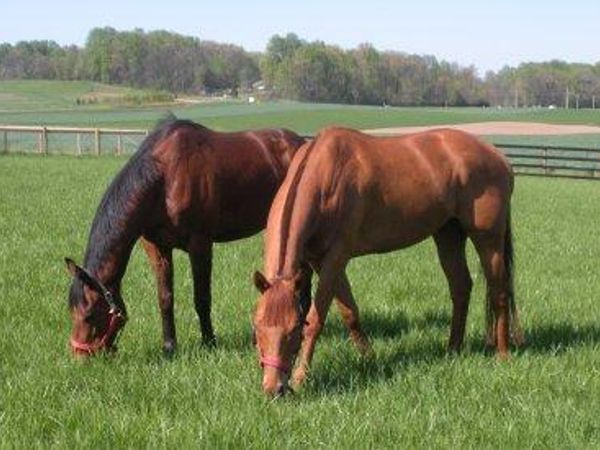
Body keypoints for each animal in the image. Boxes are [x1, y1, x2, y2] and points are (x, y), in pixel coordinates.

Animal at [65, 118, 310, 356]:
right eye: (71, 311)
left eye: (89, 314)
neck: (164, 178)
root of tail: (304, 143)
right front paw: (169, 346)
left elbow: (202, 298)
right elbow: (165, 297)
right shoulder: (157, 247)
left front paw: (209, 342)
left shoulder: (200, 243)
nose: (80, 357)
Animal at [251, 127, 524, 398]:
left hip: (488, 239)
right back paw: (452, 349)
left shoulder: (336, 259)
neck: (326, 175)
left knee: (499, 291)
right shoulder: (321, 261)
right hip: (448, 235)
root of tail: (498, 156)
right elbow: (349, 312)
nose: (273, 388)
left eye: (293, 330)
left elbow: (317, 320)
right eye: (257, 327)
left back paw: (502, 355)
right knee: (460, 287)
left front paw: (300, 378)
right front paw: (370, 358)